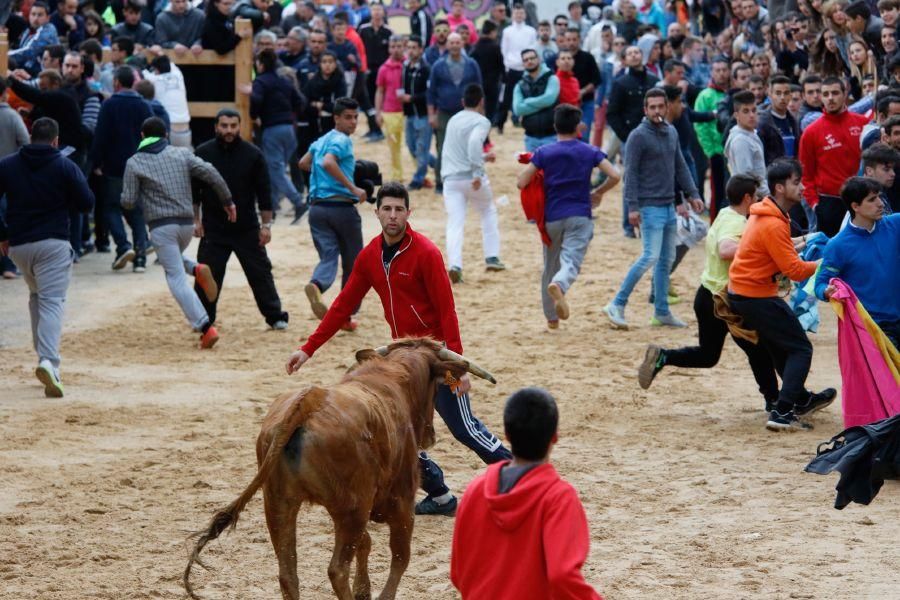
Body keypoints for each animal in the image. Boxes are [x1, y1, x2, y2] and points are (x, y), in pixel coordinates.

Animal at [180, 340, 496, 596]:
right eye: (436, 387)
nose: (429, 436)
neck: (390, 378)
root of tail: (308, 402)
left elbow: (367, 544)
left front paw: (364, 590)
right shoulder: (401, 500)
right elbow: (400, 556)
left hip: (280, 504)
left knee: (288, 573)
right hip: (351, 510)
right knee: (337, 569)